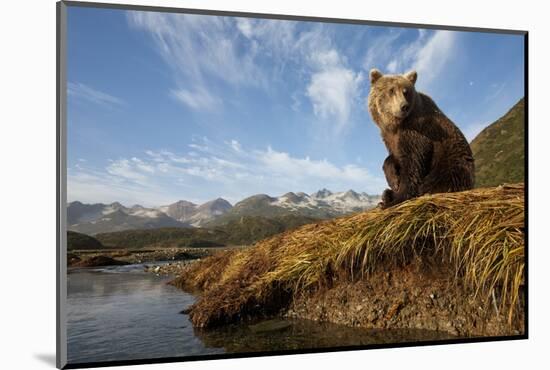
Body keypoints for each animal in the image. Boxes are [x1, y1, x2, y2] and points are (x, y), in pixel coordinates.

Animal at [368, 68, 476, 208]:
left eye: (405, 91)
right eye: (391, 90)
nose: (404, 106)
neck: (396, 125)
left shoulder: (417, 130)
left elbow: (413, 160)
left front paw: (397, 198)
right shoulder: (388, 137)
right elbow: (393, 157)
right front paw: (393, 181)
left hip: (450, 163)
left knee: (440, 180)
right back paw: (386, 195)